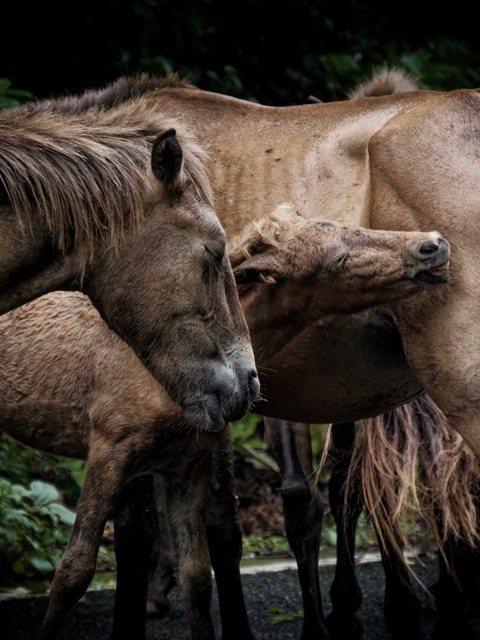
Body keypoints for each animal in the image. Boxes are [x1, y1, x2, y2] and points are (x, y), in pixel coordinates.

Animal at [0, 199, 451, 640]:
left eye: (348, 225)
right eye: (338, 261)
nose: (432, 244)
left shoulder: (188, 463)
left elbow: (198, 578)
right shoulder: (109, 450)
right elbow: (73, 571)